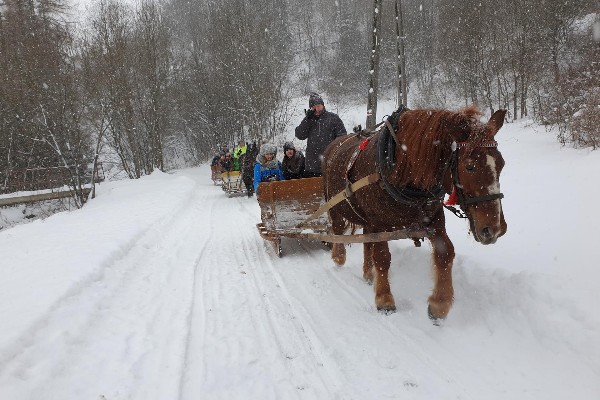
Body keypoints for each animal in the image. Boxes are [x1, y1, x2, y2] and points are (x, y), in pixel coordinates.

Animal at [324, 106, 506, 322]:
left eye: (501, 164)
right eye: (470, 166)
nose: (495, 229)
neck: (399, 168)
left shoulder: (434, 219)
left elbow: (445, 252)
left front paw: (439, 304)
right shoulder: (378, 223)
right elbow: (382, 257)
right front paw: (384, 299)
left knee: (366, 241)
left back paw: (368, 273)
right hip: (334, 206)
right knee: (338, 229)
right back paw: (339, 256)